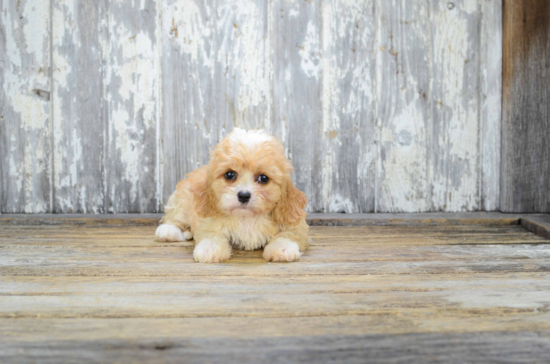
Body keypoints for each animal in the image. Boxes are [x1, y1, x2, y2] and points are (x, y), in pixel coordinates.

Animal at [155, 129, 310, 264]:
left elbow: (289, 233)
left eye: (263, 178)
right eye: (229, 175)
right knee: (175, 217)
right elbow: (211, 234)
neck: (246, 217)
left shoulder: (294, 221)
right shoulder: (207, 219)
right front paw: (209, 248)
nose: (244, 195)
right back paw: (168, 231)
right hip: (182, 201)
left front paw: (283, 248)